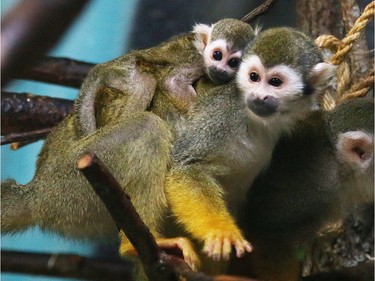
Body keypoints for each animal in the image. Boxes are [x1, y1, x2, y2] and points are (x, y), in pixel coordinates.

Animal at [74, 18, 256, 135]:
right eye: (217, 55)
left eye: (233, 62)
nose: (220, 70)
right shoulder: (198, 61)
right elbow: (171, 82)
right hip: (123, 75)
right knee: (145, 82)